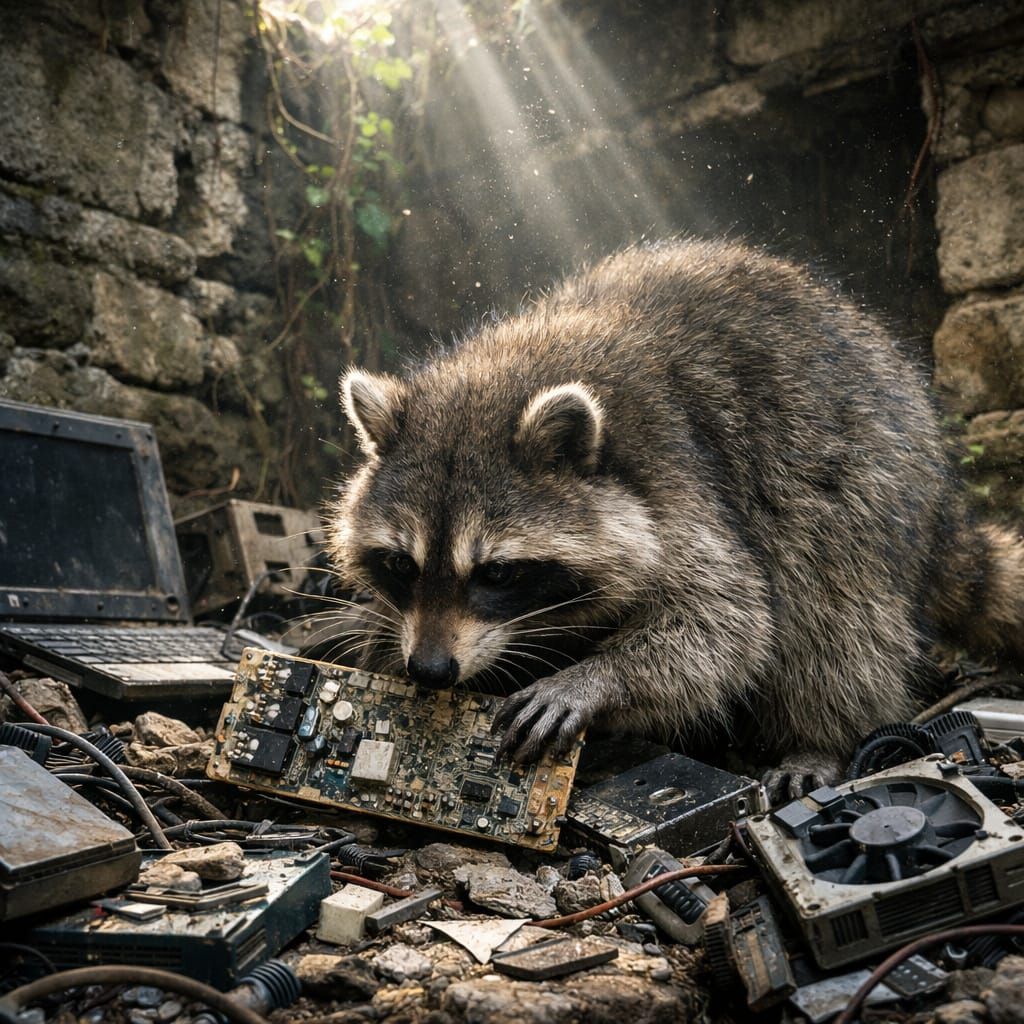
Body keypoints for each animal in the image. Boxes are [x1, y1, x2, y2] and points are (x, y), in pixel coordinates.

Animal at [326, 238, 1024, 797]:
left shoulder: (678, 474)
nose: (429, 670)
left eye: (496, 573)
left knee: (833, 609)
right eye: (400, 563)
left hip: (869, 482)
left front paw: (596, 679)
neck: (512, 369)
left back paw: (822, 734)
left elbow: (724, 622)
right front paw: (377, 632)